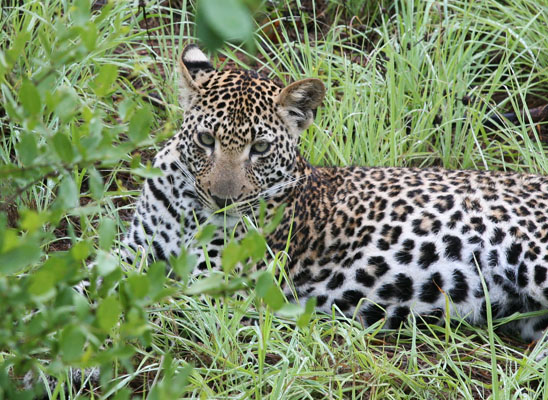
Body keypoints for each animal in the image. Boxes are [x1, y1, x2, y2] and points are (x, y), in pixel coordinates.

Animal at [121, 44, 548, 344]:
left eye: (260, 148)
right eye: (206, 140)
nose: (222, 200)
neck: (186, 206)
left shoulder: (213, 283)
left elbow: (145, 304)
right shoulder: (135, 250)